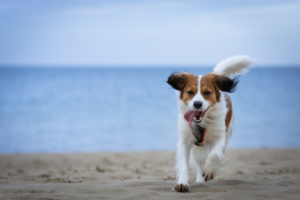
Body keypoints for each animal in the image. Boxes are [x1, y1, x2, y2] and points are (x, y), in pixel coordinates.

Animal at [166, 55, 253, 192]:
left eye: (207, 93)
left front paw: (209, 171)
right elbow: (183, 164)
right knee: (199, 163)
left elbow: (215, 154)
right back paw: (200, 180)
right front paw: (183, 182)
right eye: (190, 92)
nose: (197, 104)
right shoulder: (184, 141)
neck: (203, 121)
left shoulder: (220, 137)